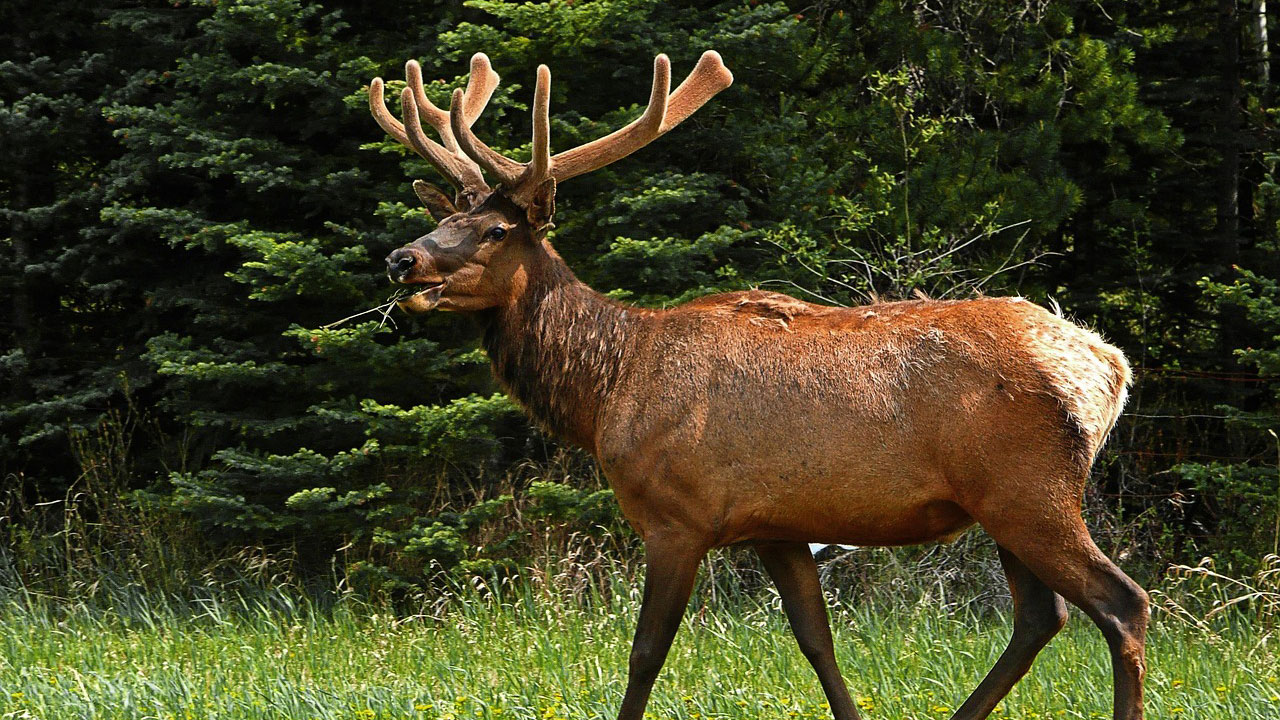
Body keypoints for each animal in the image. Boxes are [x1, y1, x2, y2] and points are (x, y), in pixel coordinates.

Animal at [367, 51, 1148, 720]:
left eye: (496, 230)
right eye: (444, 217)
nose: (402, 259)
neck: (606, 389)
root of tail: (1109, 367)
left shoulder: (679, 517)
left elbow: (645, 654)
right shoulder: (777, 526)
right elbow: (817, 643)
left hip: (1028, 489)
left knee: (1122, 603)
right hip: (1003, 503)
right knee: (1042, 616)